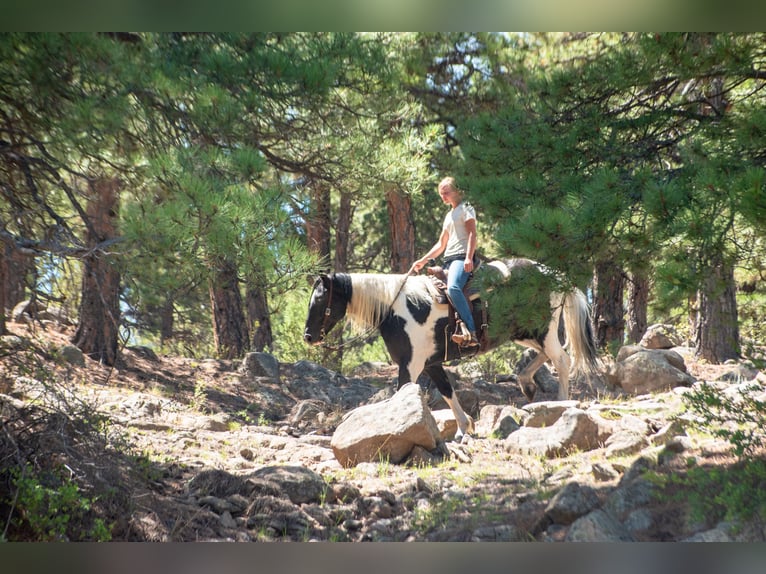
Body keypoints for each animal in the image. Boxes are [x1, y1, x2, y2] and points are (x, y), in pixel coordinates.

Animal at [303, 258, 599, 441]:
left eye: (319, 300)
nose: (308, 337)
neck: (398, 308)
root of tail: (555, 275)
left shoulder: (410, 365)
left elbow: (404, 396)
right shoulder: (431, 363)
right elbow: (447, 391)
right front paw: (463, 428)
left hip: (542, 330)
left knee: (561, 360)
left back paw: (561, 401)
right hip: (523, 333)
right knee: (548, 356)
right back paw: (526, 383)